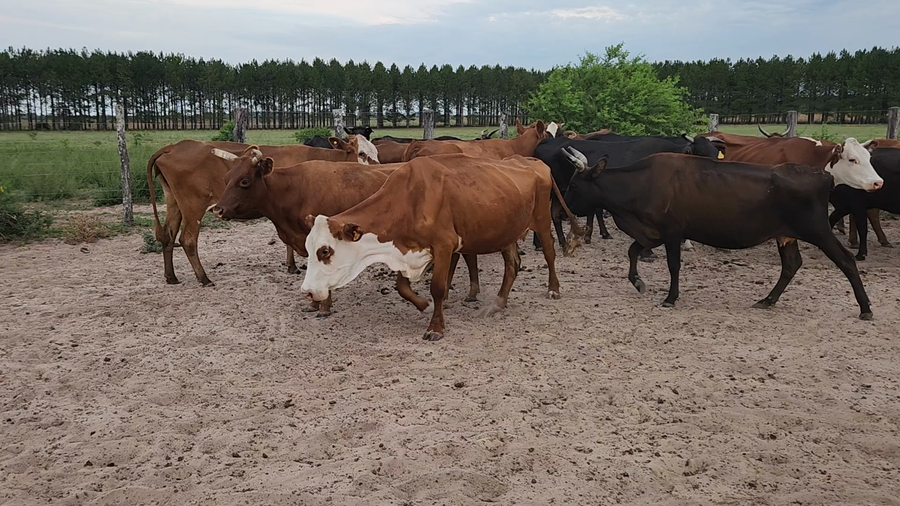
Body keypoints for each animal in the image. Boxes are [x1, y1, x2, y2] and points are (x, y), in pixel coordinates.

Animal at [146, 136, 370, 286]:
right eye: (362, 154)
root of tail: (173, 147)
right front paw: (293, 265)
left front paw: (291, 265)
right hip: (193, 207)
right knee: (188, 239)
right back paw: (204, 278)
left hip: (174, 203)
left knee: (168, 235)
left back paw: (171, 277)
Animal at [208, 148, 481, 317]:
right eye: (226, 178)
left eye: (244, 181)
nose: (218, 210)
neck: (294, 189)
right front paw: (313, 302)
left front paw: (323, 306)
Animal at [299, 154, 585, 341]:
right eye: (309, 248)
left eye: (325, 250)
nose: (307, 292)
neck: (411, 198)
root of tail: (533, 162)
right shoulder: (408, 250)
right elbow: (402, 287)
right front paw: (423, 304)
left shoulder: (444, 246)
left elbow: (437, 287)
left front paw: (435, 327)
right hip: (506, 232)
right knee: (512, 265)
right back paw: (498, 303)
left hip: (541, 221)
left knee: (549, 253)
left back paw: (553, 289)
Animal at [560, 149, 873, 320]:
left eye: (574, 186)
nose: (560, 209)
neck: (641, 184)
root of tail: (823, 175)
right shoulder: (652, 232)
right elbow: (633, 251)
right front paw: (637, 281)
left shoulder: (673, 231)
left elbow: (673, 265)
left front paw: (670, 297)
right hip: (786, 235)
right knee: (791, 265)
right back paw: (768, 300)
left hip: (818, 231)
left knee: (846, 261)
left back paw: (865, 307)